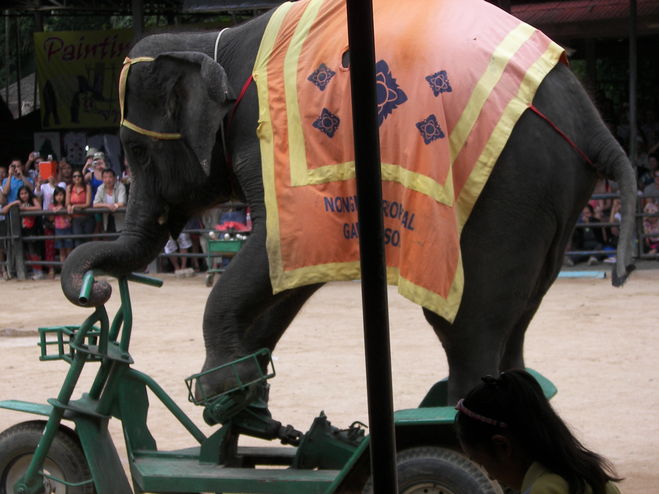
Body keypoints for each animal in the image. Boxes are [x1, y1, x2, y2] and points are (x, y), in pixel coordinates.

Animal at [62, 1, 640, 408]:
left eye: (135, 151)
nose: (100, 289)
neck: (212, 43)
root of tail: (593, 124)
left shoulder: (265, 142)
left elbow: (281, 240)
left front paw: (218, 387)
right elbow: (297, 262)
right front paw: (247, 382)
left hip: (509, 188)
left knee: (468, 324)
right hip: (555, 200)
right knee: (516, 322)